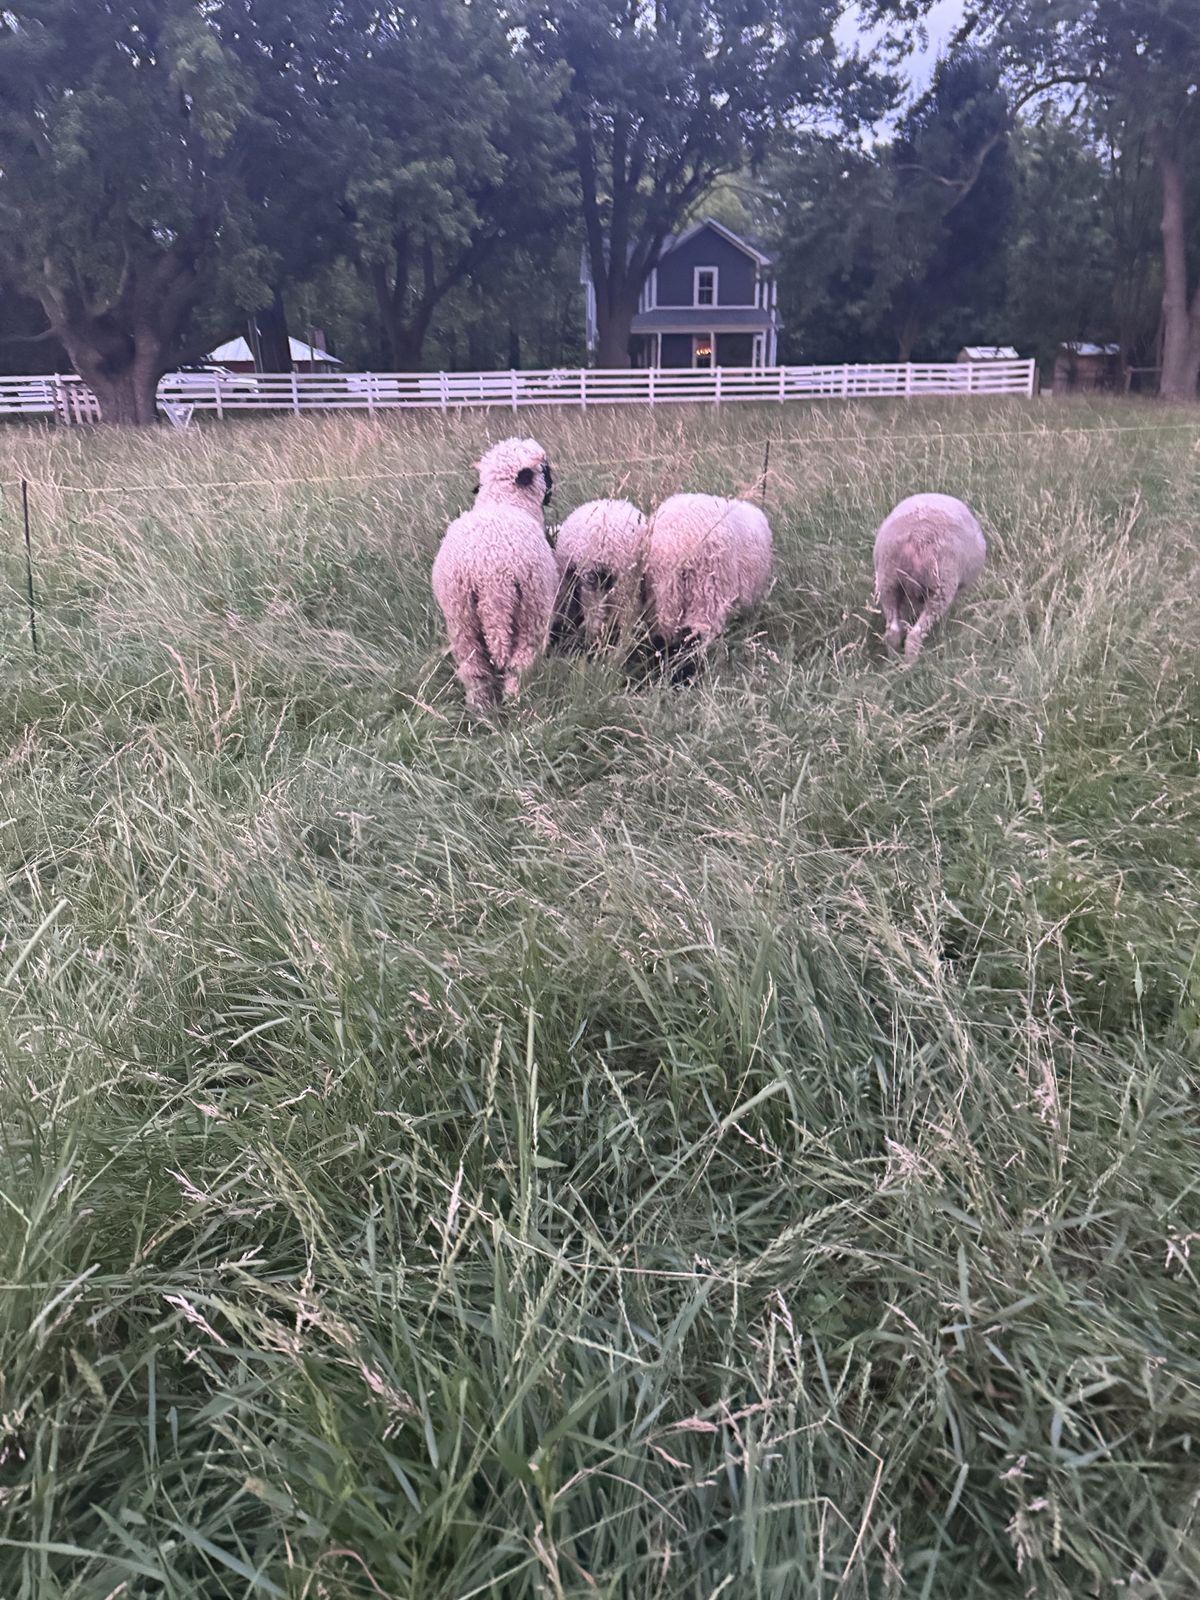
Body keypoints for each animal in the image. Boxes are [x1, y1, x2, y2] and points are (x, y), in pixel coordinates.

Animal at [431, 437, 557, 710]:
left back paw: (481, 709)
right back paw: (516, 702)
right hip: (531, 611)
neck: (503, 500)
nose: (550, 492)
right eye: (545, 470)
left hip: (461, 619)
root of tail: (491, 576)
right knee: (519, 664)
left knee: (474, 670)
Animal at [873, 492, 986, 660]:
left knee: (893, 632)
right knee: (914, 636)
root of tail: (917, 538)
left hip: (888, 583)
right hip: (941, 587)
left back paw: (894, 661)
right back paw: (911, 662)